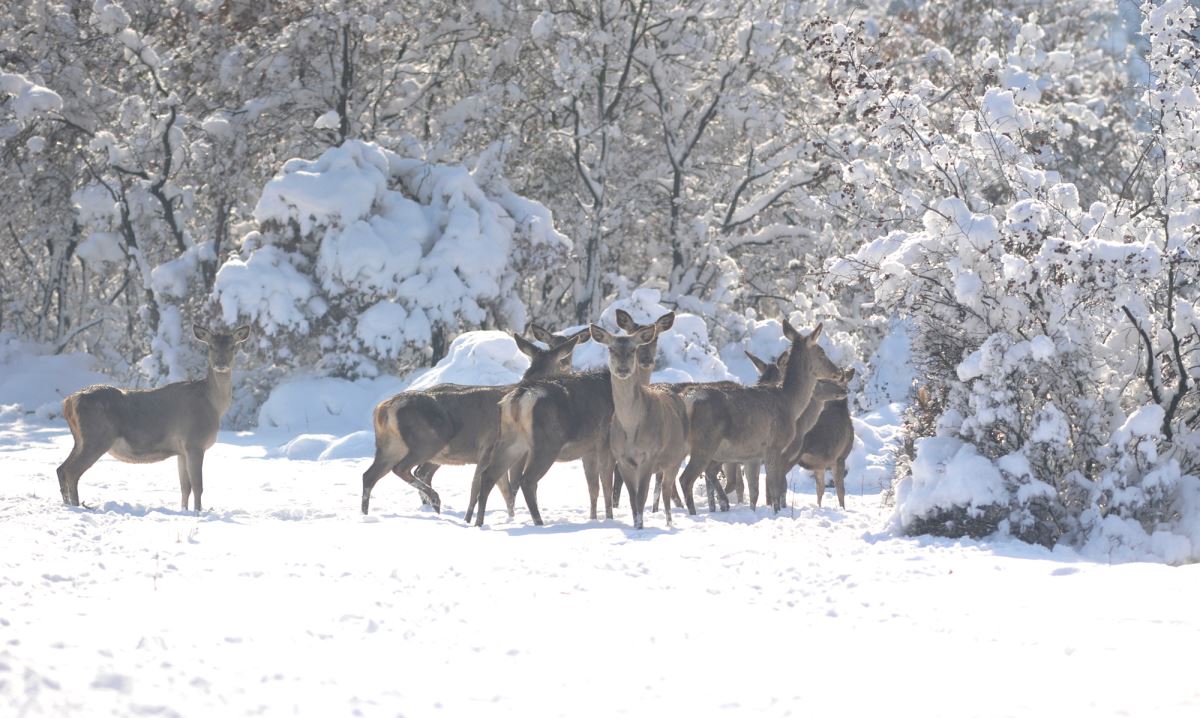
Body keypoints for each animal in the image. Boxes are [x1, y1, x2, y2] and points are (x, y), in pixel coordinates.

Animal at [57, 324, 253, 513]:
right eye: (211, 346)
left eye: (233, 346)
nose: (221, 364)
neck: (214, 405)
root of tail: (69, 401)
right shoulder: (194, 443)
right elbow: (198, 486)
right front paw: (198, 513)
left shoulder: (182, 450)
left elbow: (185, 487)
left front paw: (184, 511)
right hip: (97, 437)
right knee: (72, 471)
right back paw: (76, 506)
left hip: (81, 439)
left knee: (61, 468)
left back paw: (68, 504)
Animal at [357, 326, 583, 518]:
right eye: (565, 361)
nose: (574, 376)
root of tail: (384, 409)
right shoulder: (489, 447)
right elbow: (487, 489)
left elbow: (504, 492)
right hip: (427, 440)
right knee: (402, 469)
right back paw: (435, 499)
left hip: (389, 446)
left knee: (369, 476)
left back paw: (366, 515)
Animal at [588, 316, 686, 530]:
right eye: (611, 349)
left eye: (633, 349)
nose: (623, 369)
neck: (631, 429)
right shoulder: (622, 458)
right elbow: (633, 498)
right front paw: (636, 524)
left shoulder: (649, 455)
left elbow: (641, 496)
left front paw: (641, 526)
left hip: (675, 457)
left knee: (666, 491)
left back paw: (669, 523)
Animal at [676, 324, 844, 513]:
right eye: (821, 351)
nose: (838, 372)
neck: (790, 403)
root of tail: (687, 399)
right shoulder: (775, 446)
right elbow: (775, 488)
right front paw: (777, 512)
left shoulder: (753, 455)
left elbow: (754, 491)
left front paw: (753, 511)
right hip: (705, 443)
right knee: (685, 479)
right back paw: (695, 512)